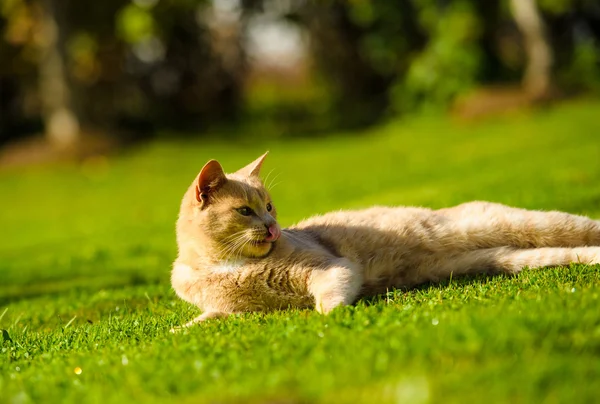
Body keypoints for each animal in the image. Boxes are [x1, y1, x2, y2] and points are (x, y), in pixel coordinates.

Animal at [170, 153, 600, 330]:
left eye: (271, 207)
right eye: (246, 211)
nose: (273, 227)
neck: (222, 265)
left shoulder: (333, 268)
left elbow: (328, 298)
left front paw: (325, 318)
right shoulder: (231, 311)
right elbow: (202, 320)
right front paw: (177, 334)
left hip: (519, 225)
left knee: (583, 226)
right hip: (509, 257)